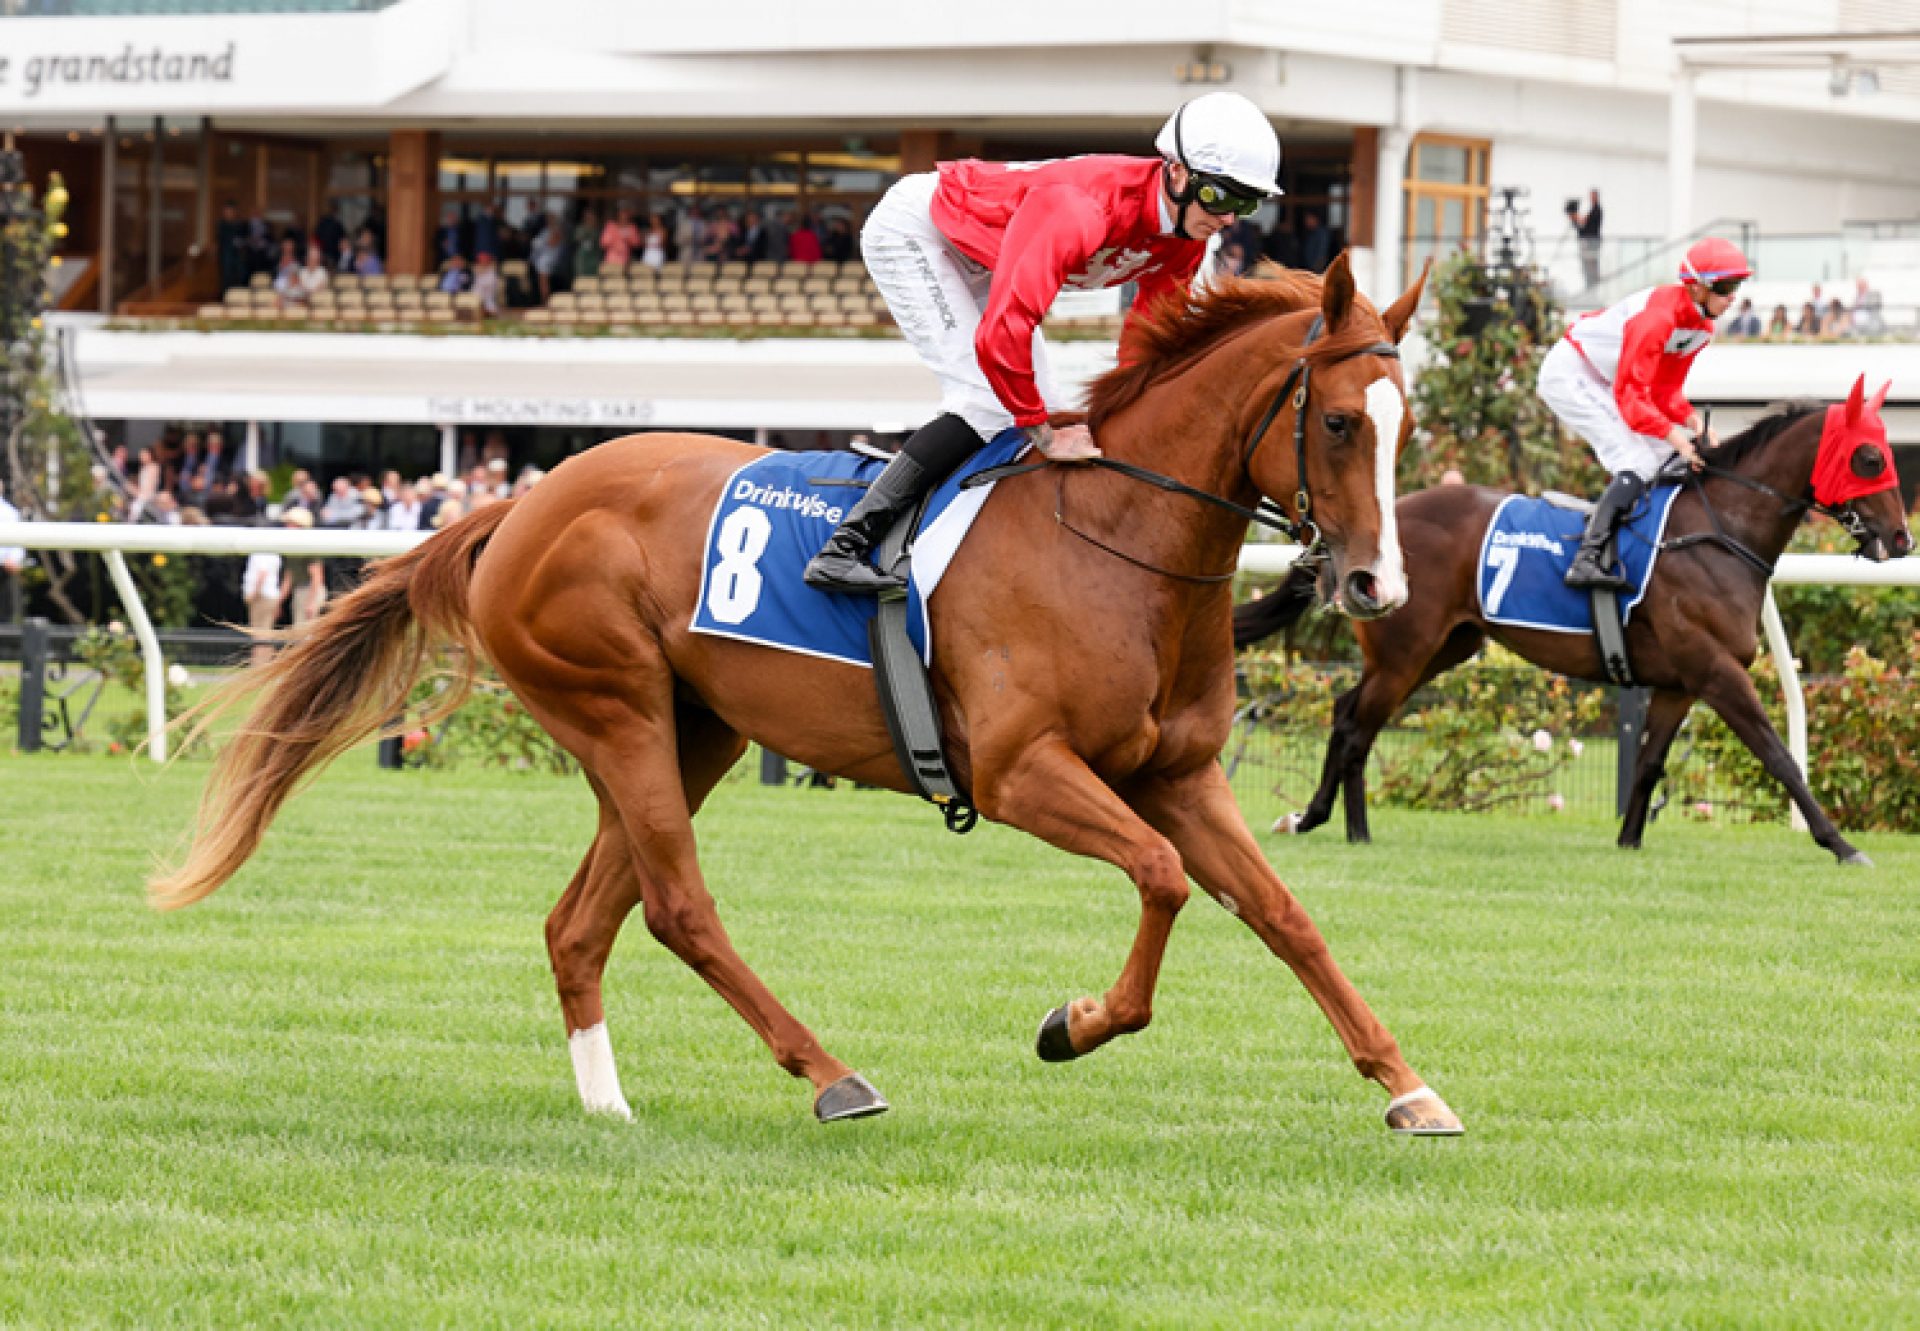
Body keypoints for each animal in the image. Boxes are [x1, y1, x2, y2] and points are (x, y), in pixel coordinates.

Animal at [153, 257, 1466, 1129]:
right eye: (1337, 421)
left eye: (1408, 426)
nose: (1374, 581)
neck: (1118, 541)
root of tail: (520, 501)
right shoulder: (1021, 769)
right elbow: (1158, 875)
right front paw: (1075, 1023)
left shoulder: (1180, 773)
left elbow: (1285, 912)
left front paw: (1409, 1085)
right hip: (617, 708)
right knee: (680, 907)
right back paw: (832, 1073)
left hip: (694, 731)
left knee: (584, 920)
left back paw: (609, 1102)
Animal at [1236, 378, 1912, 868]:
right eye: (1869, 456)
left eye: (1888, 454)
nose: (1902, 538)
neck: (1716, 533)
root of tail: (1362, 534)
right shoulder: (1718, 673)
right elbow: (1780, 756)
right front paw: (1842, 844)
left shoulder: (1678, 683)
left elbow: (1648, 763)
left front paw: (1629, 841)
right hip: (1405, 652)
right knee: (1356, 724)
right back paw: (1338, 824)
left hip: (1443, 648)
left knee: (1350, 714)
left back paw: (1328, 820)